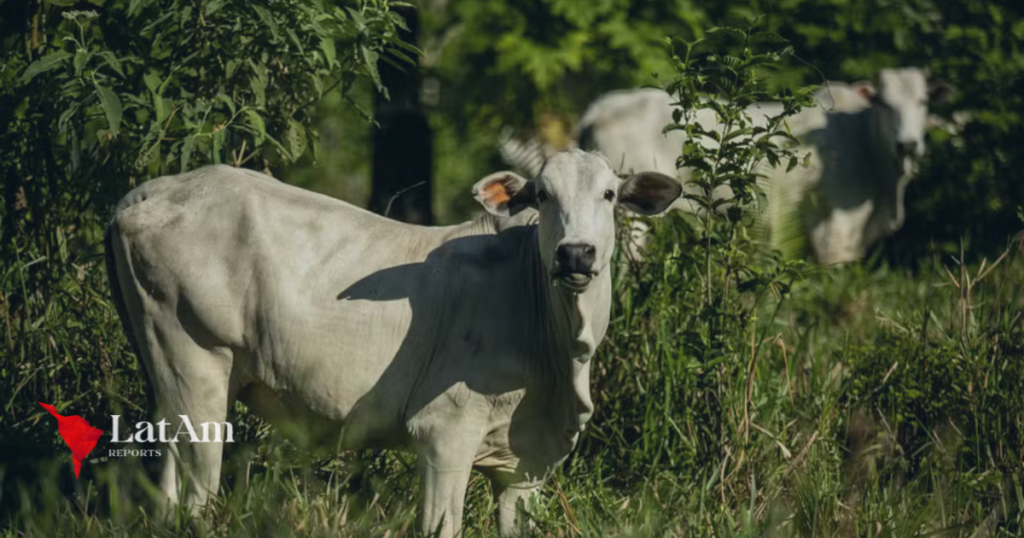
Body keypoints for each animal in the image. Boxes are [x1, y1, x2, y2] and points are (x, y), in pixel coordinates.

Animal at [103, 151, 679, 536]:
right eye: (540, 195)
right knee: (196, 497)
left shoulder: (526, 469)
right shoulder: (444, 434)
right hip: (196, 366)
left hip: (172, 379)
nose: (575, 254)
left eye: (609, 194)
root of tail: (153, 190)